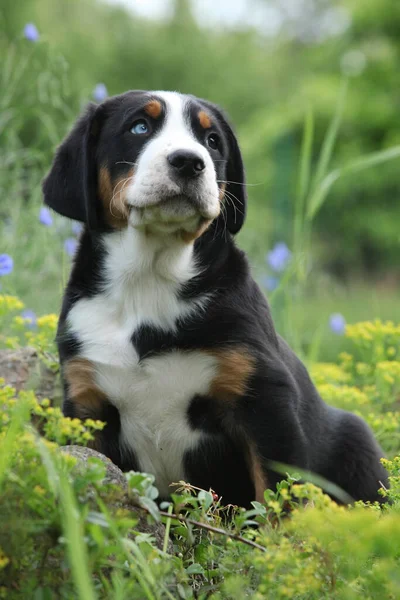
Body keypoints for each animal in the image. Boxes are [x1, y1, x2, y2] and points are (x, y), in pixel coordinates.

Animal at [43, 91, 388, 504]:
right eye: (139, 127)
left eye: (211, 141)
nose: (189, 162)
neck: (149, 279)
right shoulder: (87, 401)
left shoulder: (264, 400)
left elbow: (276, 495)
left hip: (357, 442)